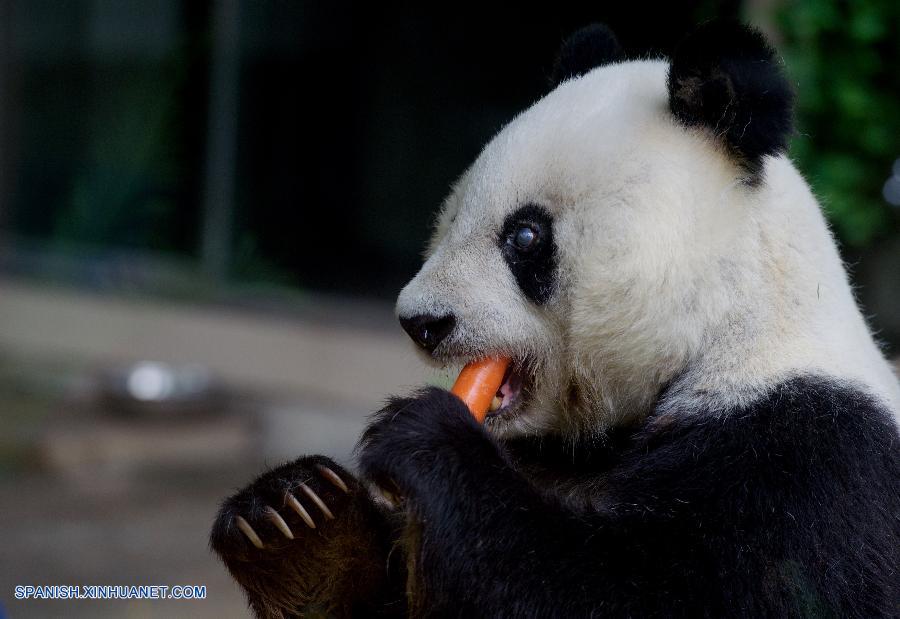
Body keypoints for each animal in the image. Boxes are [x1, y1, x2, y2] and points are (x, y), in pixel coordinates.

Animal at [211, 20, 900, 618]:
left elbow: (634, 593)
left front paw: (421, 434)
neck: (725, 325)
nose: (421, 322)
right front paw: (295, 523)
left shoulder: (810, 463)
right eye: (450, 218)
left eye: (524, 235)